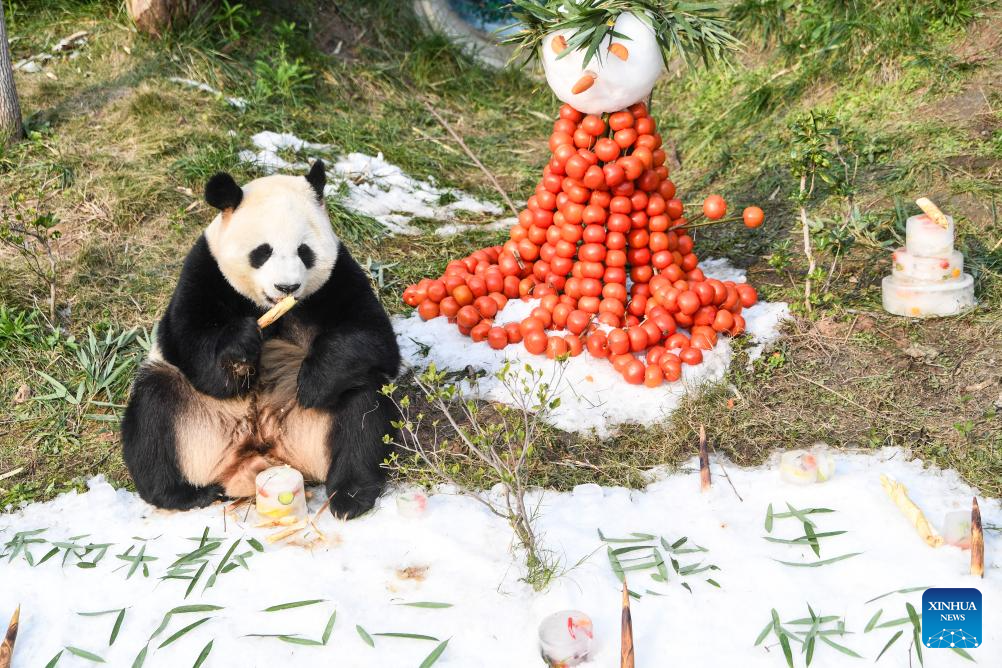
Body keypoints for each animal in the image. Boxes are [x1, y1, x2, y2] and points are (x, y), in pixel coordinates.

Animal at [126, 160, 402, 516]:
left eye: (304, 252)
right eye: (262, 252)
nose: (287, 287)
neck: (271, 308)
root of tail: (261, 450)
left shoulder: (338, 276)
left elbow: (374, 336)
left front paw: (313, 382)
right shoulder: (206, 270)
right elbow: (189, 342)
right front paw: (240, 346)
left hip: (309, 428)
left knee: (362, 406)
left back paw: (350, 495)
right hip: (195, 420)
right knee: (152, 413)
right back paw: (185, 494)